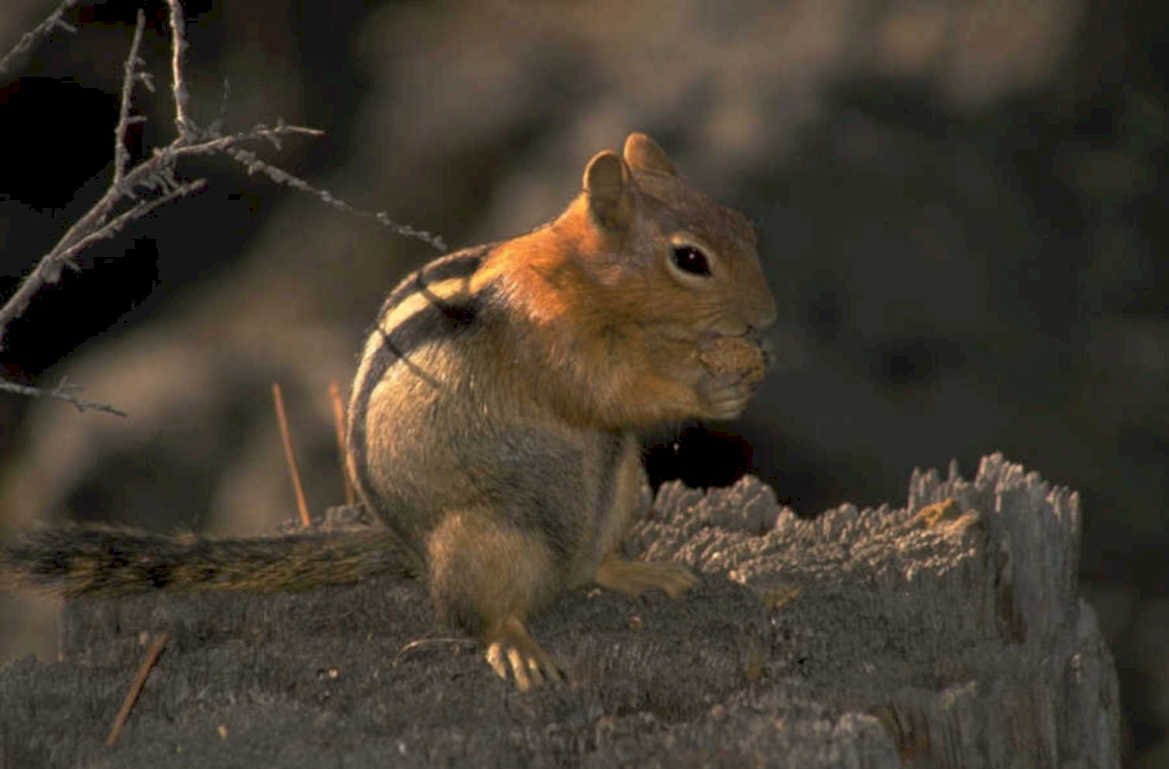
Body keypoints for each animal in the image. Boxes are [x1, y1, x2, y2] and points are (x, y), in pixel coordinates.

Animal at [1, 133, 776, 691]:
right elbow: (607, 390)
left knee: (590, 568)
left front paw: (740, 364)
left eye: (744, 224)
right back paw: (517, 647)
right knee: (478, 613)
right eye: (690, 258)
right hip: (485, 538)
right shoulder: (551, 337)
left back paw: (640, 574)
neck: (587, 279)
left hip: (617, 492)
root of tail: (413, 554)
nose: (766, 317)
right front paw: (710, 386)